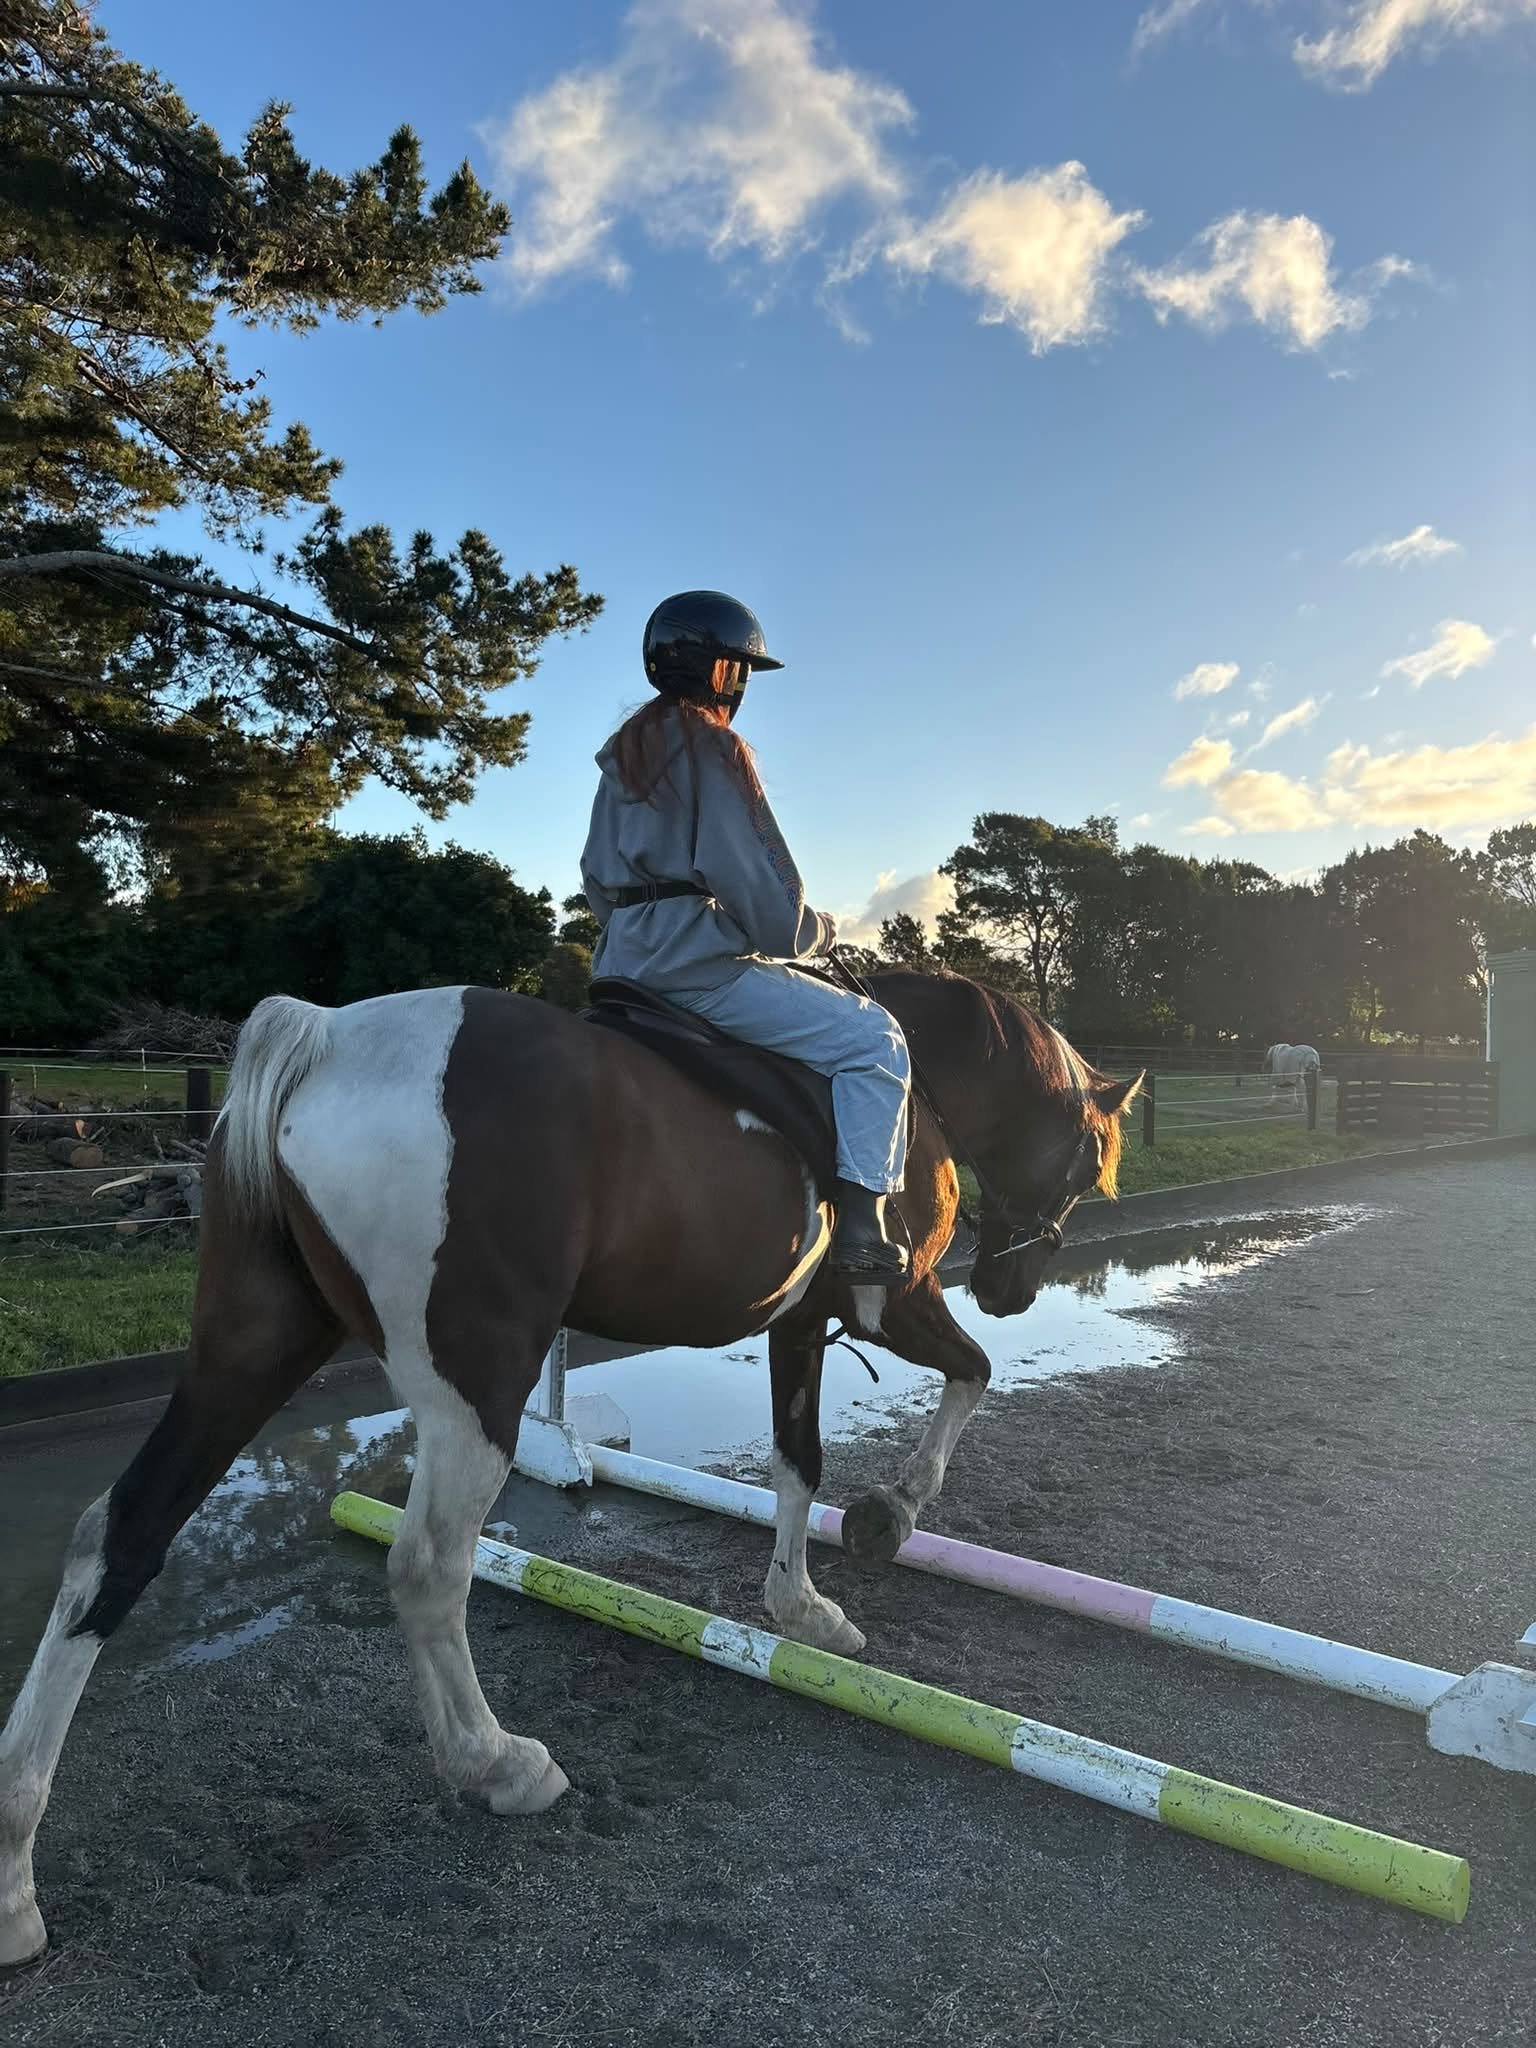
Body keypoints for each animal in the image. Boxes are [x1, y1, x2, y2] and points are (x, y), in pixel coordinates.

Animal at [0, 968, 1138, 1967]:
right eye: (1090, 1156)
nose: (1012, 1285)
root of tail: (326, 1038)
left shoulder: (798, 1321)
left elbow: (796, 1461)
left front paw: (801, 1605)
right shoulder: (888, 1299)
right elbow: (966, 1376)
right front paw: (889, 1514)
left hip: (254, 1344)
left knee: (123, 1534)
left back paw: (15, 1867)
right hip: (475, 1388)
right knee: (428, 1566)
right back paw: (494, 1761)